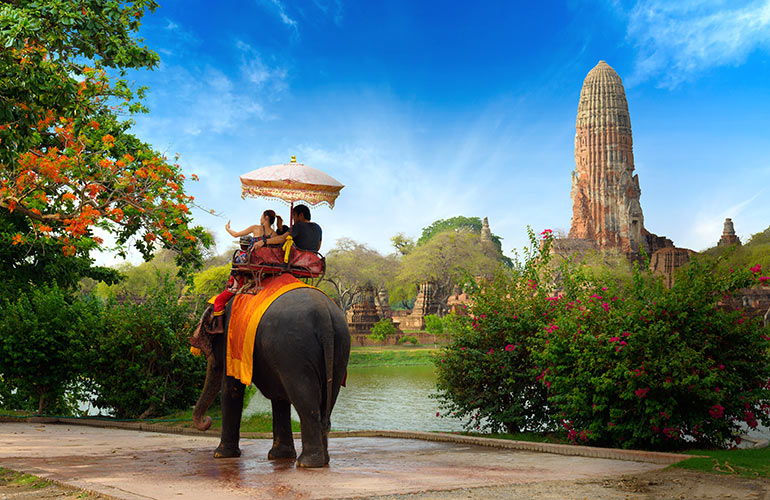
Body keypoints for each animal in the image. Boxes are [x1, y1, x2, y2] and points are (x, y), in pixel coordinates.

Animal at [191, 286, 350, 468]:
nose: (207, 420)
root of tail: (324, 315)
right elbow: (279, 396)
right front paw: (279, 456)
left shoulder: (230, 344)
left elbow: (231, 389)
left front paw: (221, 455)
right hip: (339, 347)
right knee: (326, 401)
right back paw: (322, 461)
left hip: (294, 351)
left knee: (304, 397)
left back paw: (306, 463)